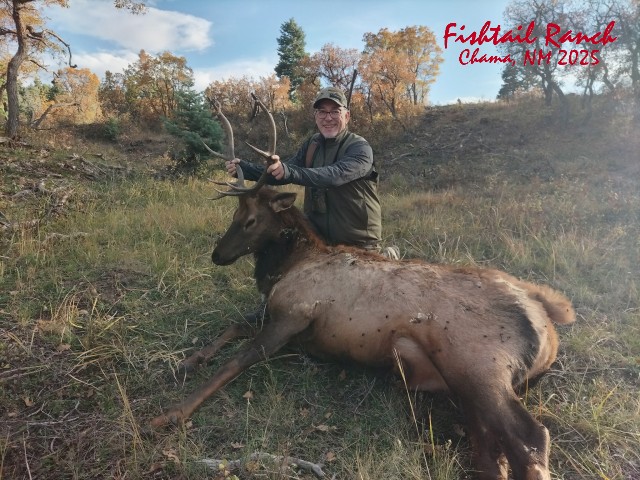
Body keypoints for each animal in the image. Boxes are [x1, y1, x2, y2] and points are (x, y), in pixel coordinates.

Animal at [150, 96, 576, 480]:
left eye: (251, 219)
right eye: (234, 214)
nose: (217, 255)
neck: (288, 265)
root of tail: (546, 318)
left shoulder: (297, 314)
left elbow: (242, 356)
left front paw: (172, 413)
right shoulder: (278, 315)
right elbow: (234, 326)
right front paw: (187, 361)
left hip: (478, 363)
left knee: (531, 438)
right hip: (466, 385)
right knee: (492, 451)